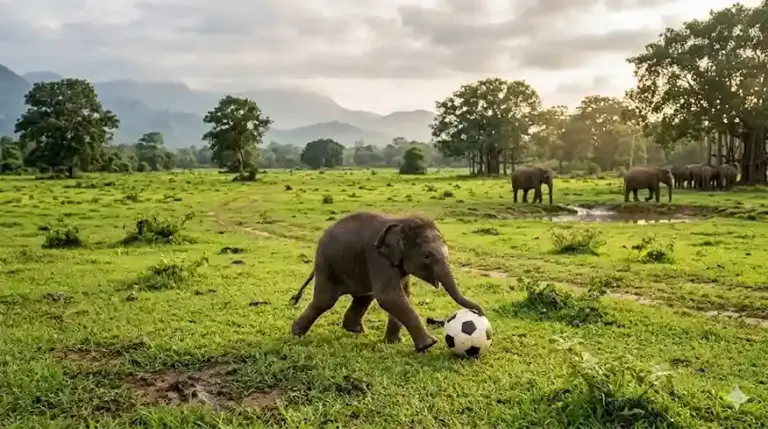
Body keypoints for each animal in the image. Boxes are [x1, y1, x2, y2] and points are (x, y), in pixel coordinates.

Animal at [289, 212, 485, 353]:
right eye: (427, 256)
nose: (480, 312)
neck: (402, 221)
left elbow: (403, 295)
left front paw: (394, 342)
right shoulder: (378, 258)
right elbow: (389, 296)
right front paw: (429, 345)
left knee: (364, 297)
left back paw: (355, 330)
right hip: (327, 264)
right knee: (325, 300)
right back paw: (296, 333)